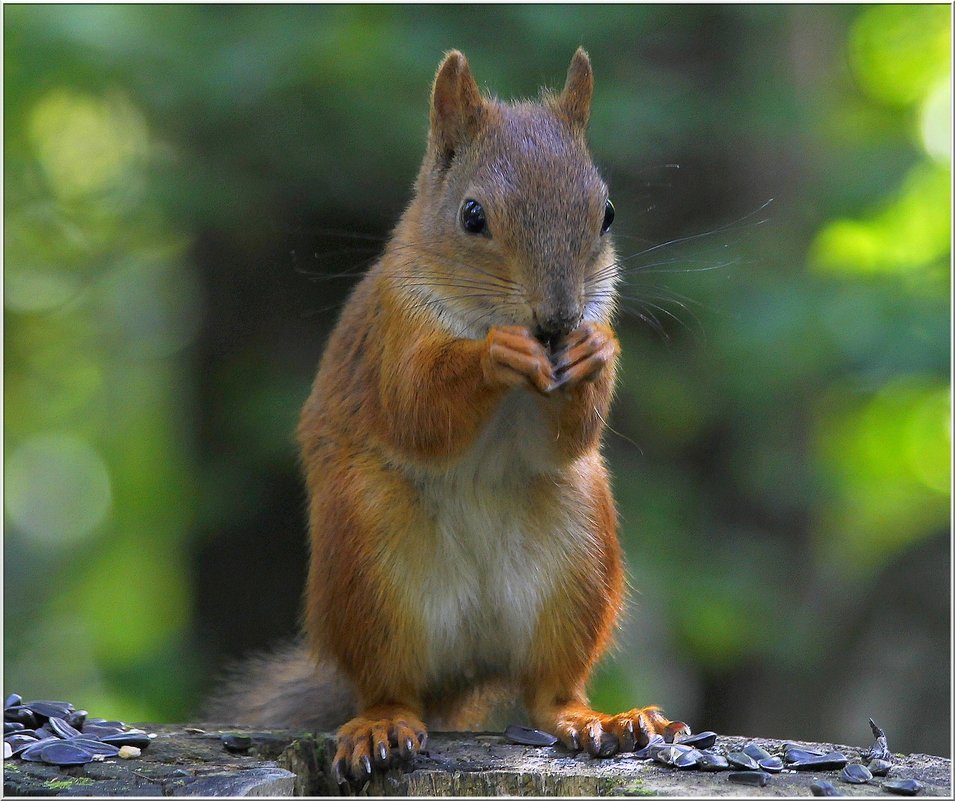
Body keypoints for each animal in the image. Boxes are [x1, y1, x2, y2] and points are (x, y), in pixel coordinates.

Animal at [211, 48, 688, 780]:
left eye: (606, 212)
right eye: (472, 216)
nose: (557, 319)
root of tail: (468, 662)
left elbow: (568, 437)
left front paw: (596, 352)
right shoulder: (393, 336)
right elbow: (419, 409)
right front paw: (495, 355)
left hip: (579, 557)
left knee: (549, 692)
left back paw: (600, 720)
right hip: (367, 558)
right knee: (389, 684)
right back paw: (382, 724)